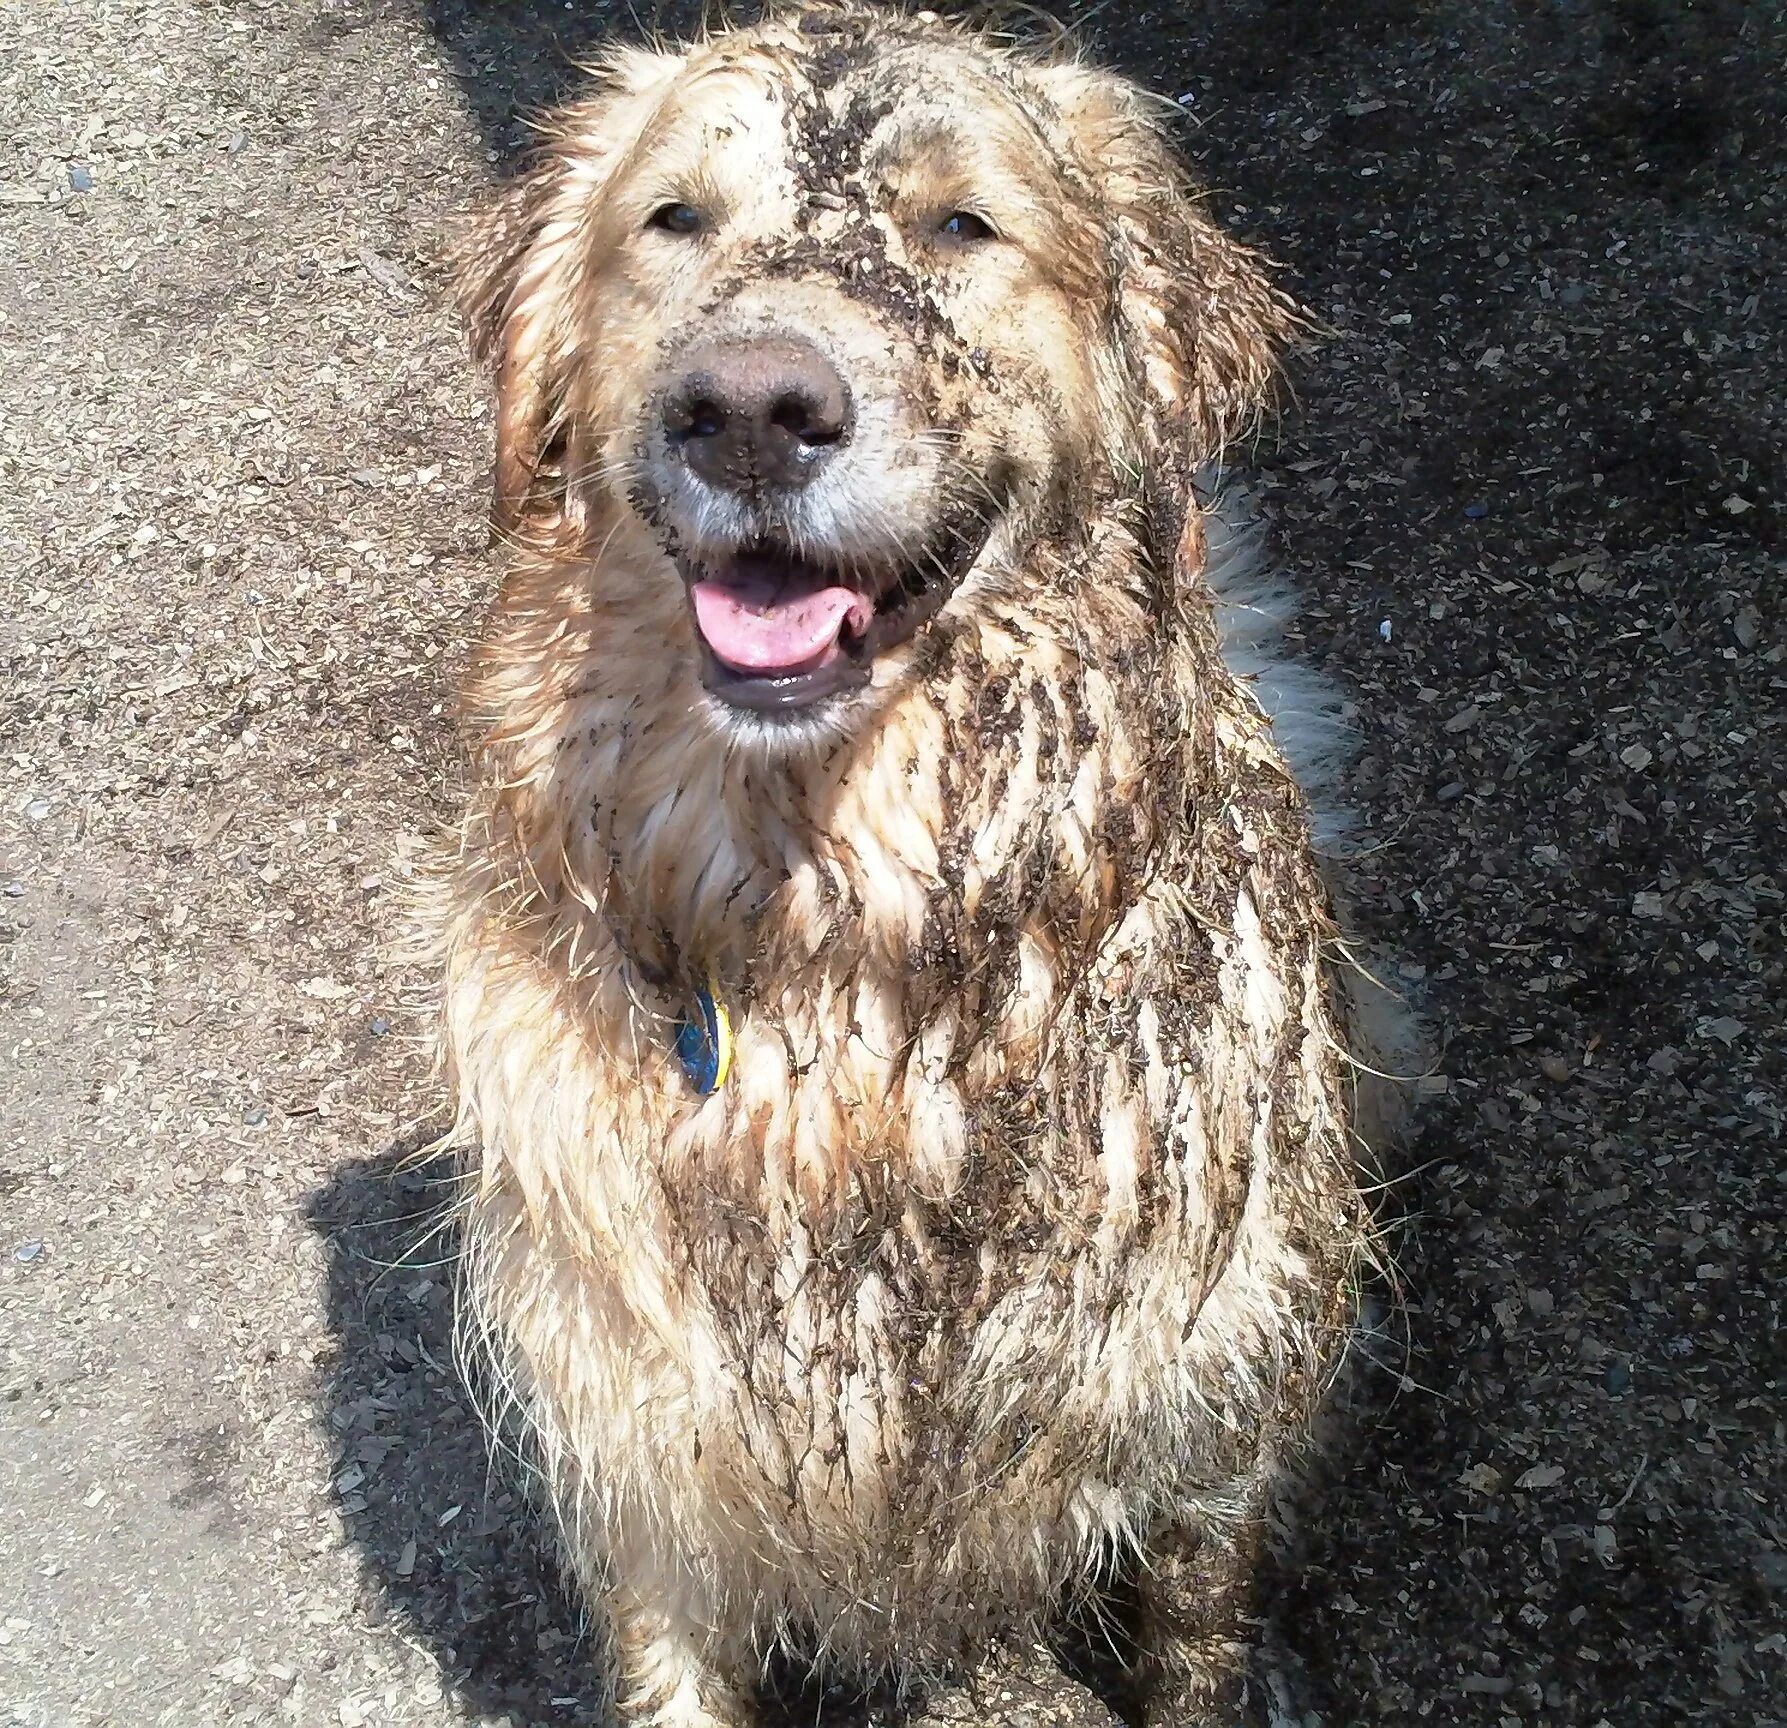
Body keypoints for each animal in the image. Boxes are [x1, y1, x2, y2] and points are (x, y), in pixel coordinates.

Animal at [428, 6, 1393, 1722]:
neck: (837, 941)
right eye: (674, 220)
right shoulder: (642, 1466)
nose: (751, 409)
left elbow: (1190, 1635)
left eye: (961, 227)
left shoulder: (1206, 1404)